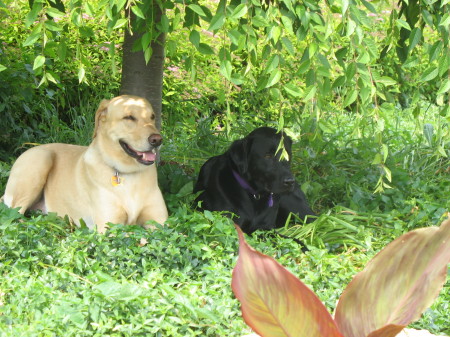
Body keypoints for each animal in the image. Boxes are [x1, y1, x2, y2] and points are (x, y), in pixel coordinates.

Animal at [1, 94, 169, 231]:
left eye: (152, 117)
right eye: (129, 117)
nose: (157, 140)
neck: (127, 172)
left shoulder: (161, 223)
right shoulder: (109, 227)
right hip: (41, 160)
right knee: (14, 215)